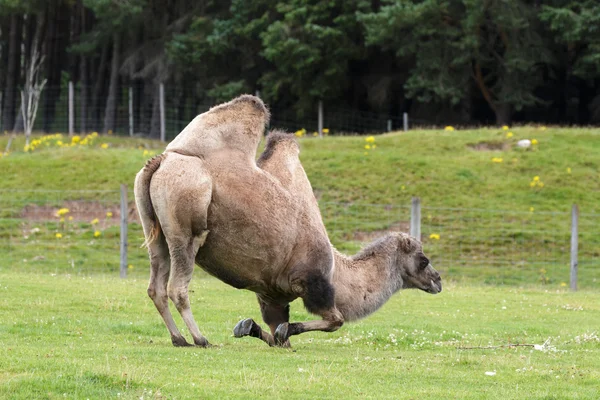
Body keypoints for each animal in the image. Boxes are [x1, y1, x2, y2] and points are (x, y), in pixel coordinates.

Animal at [132, 95, 440, 348]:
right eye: (423, 260)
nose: (437, 280)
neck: (338, 272)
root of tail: (161, 160)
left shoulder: (272, 295)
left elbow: (277, 335)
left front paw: (248, 327)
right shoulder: (313, 282)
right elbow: (334, 321)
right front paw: (281, 330)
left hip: (154, 230)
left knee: (156, 285)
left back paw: (178, 338)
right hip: (186, 225)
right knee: (178, 287)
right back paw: (200, 338)